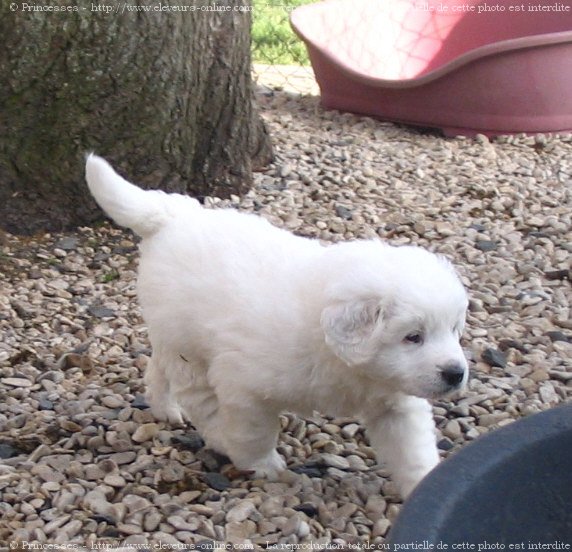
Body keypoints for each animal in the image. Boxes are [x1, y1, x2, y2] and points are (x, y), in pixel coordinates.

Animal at [86, 154, 470, 496]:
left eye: (453, 330)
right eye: (412, 337)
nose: (456, 374)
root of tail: (175, 214)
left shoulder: (396, 403)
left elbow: (412, 451)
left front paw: (423, 487)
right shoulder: (247, 390)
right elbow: (253, 433)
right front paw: (263, 465)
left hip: (172, 335)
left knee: (158, 368)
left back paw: (165, 409)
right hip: (189, 347)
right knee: (198, 397)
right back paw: (217, 436)